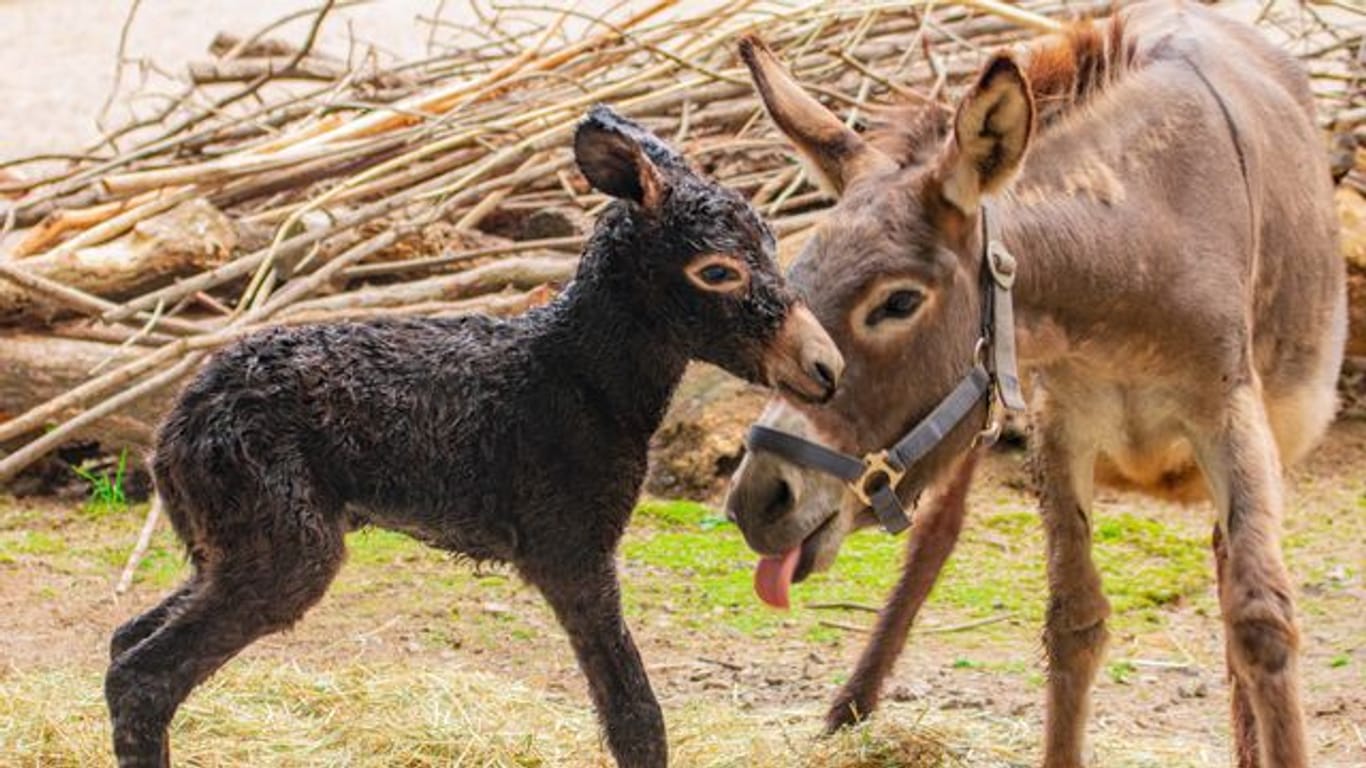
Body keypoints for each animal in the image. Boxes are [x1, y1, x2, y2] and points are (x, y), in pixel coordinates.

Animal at [103, 103, 841, 765]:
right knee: (142, 678)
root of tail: (178, 426)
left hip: (232, 545)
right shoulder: (571, 550)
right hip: (285, 545)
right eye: (717, 270)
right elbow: (635, 718)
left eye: (772, 247)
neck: (578, 375)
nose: (825, 368)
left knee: (123, 643)